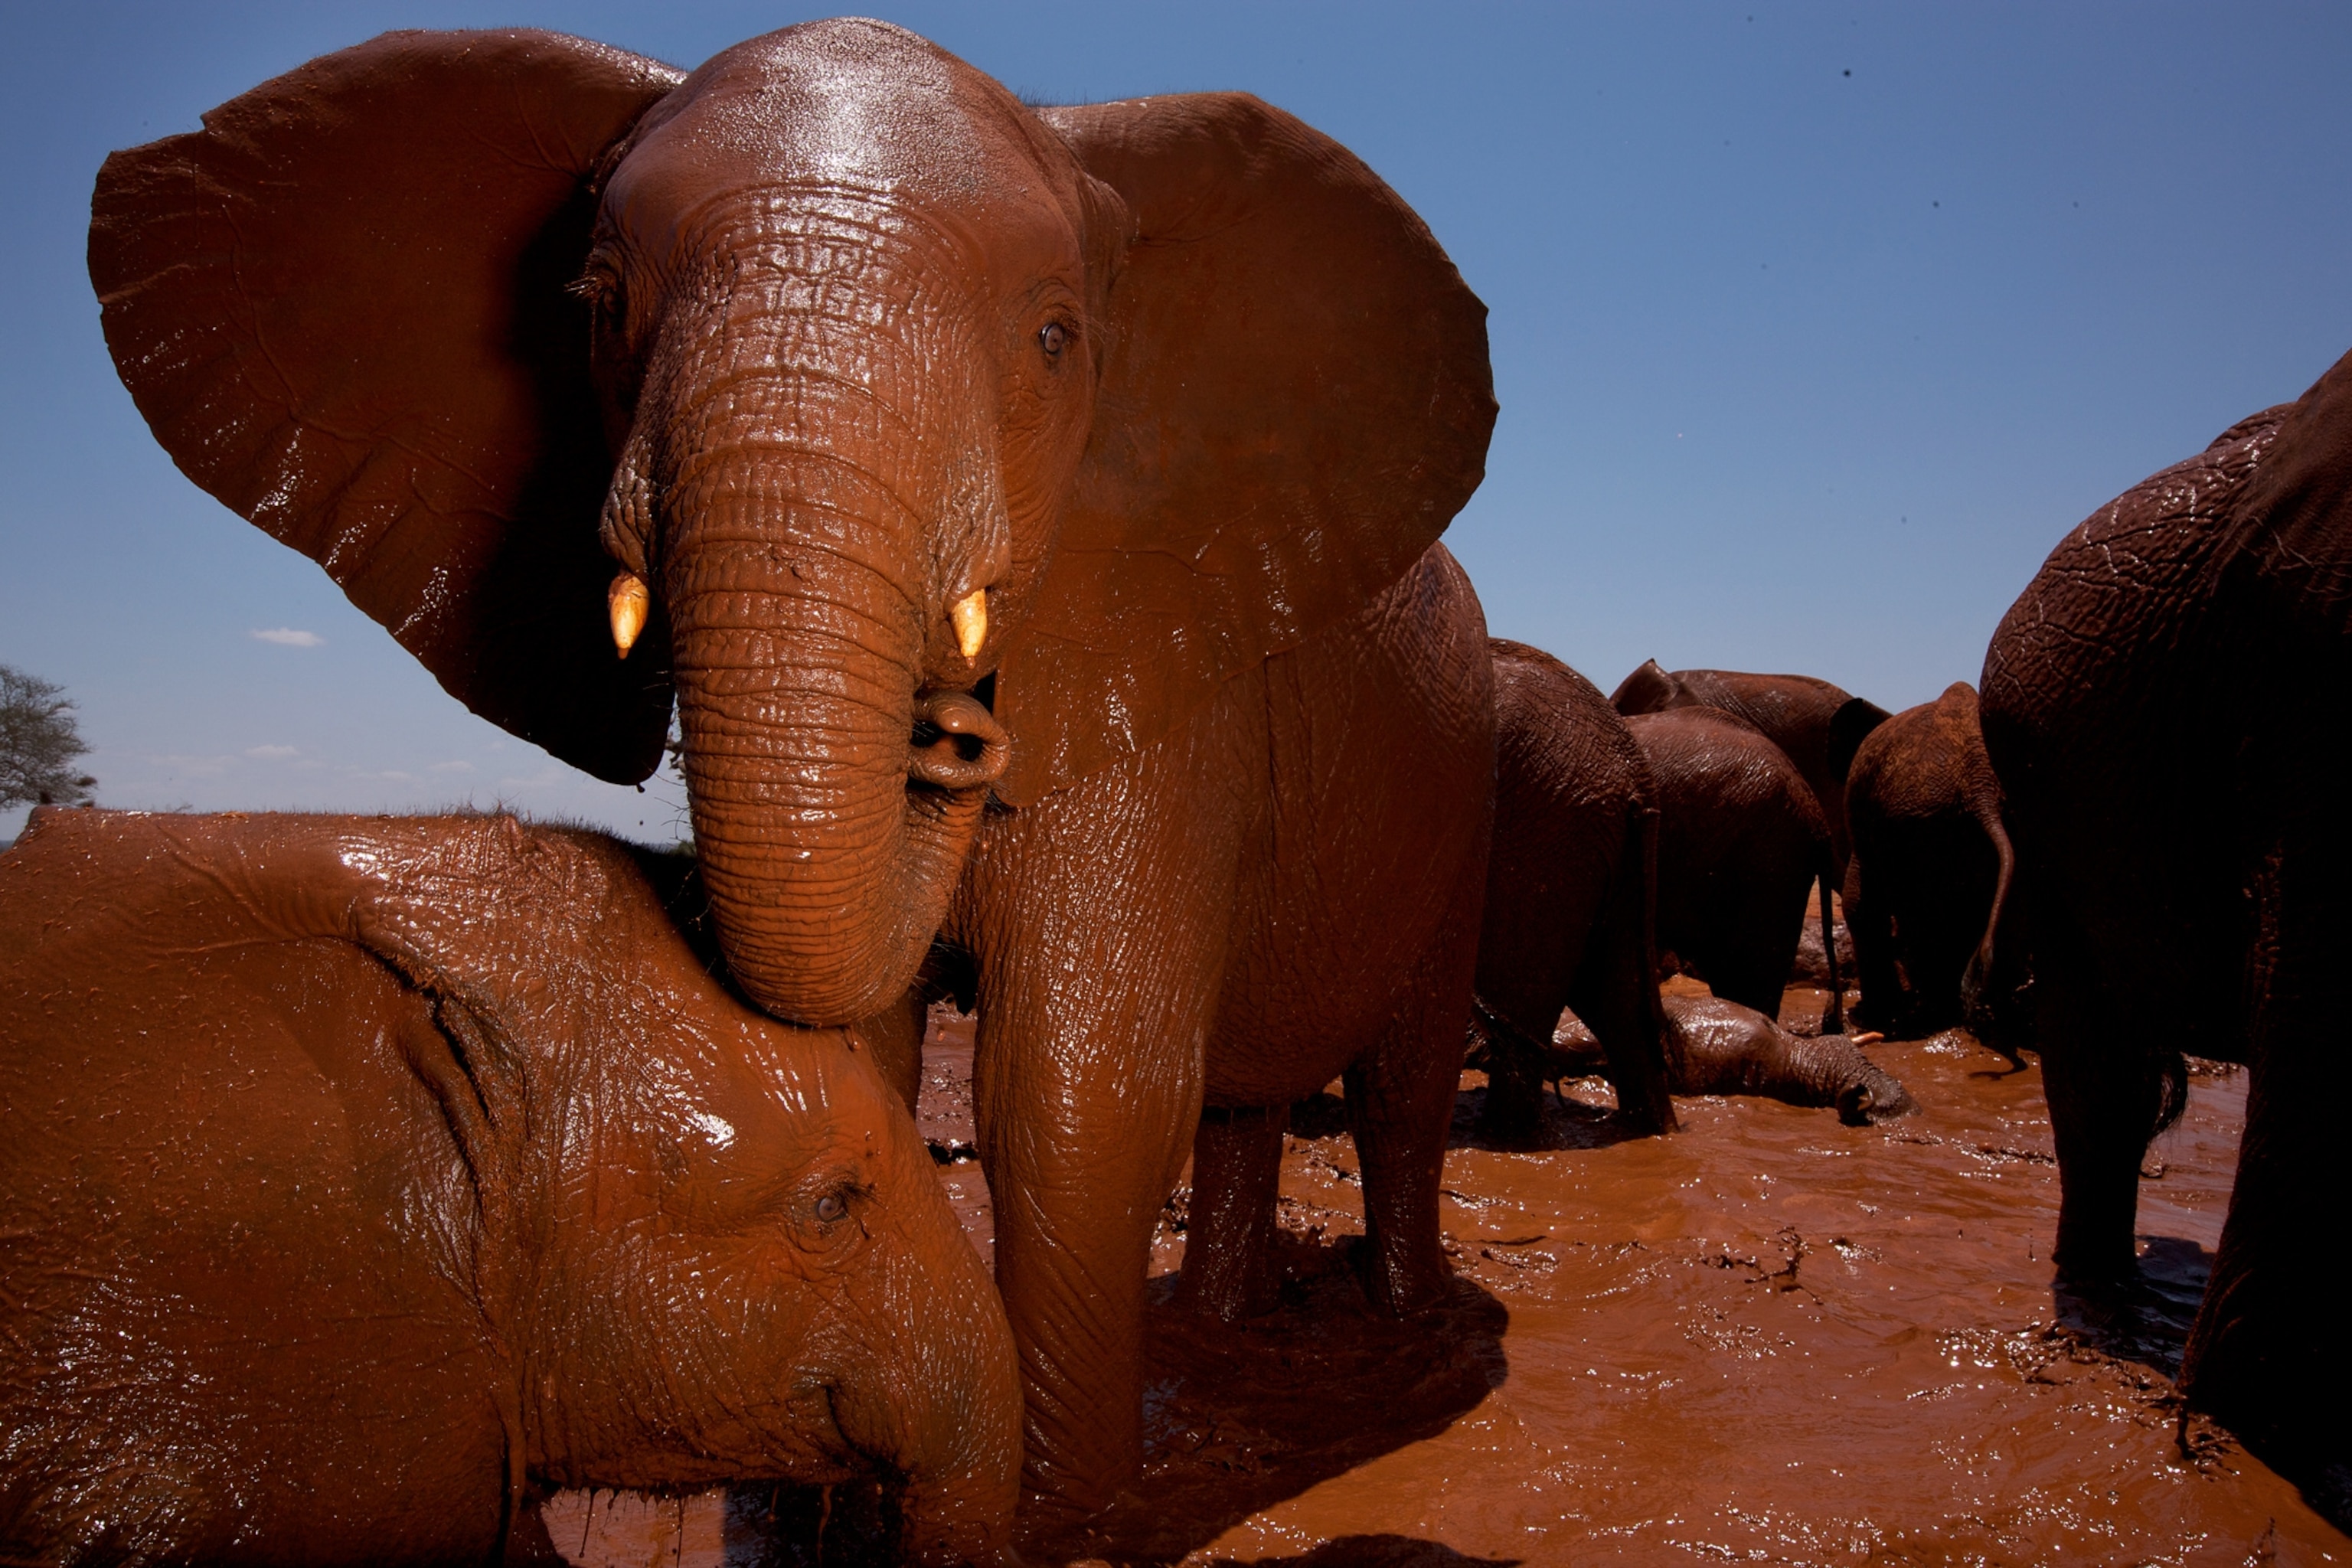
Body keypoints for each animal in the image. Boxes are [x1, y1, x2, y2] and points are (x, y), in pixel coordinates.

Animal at [87, 21, 1498, 1521]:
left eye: (1056, 341)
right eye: (596, 304)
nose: (956, 735)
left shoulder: (1170, 663)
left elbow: (1075, 1099)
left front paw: (1065, 1528)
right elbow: (859, 1060)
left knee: (1401, 1082)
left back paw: (1407, 1327)